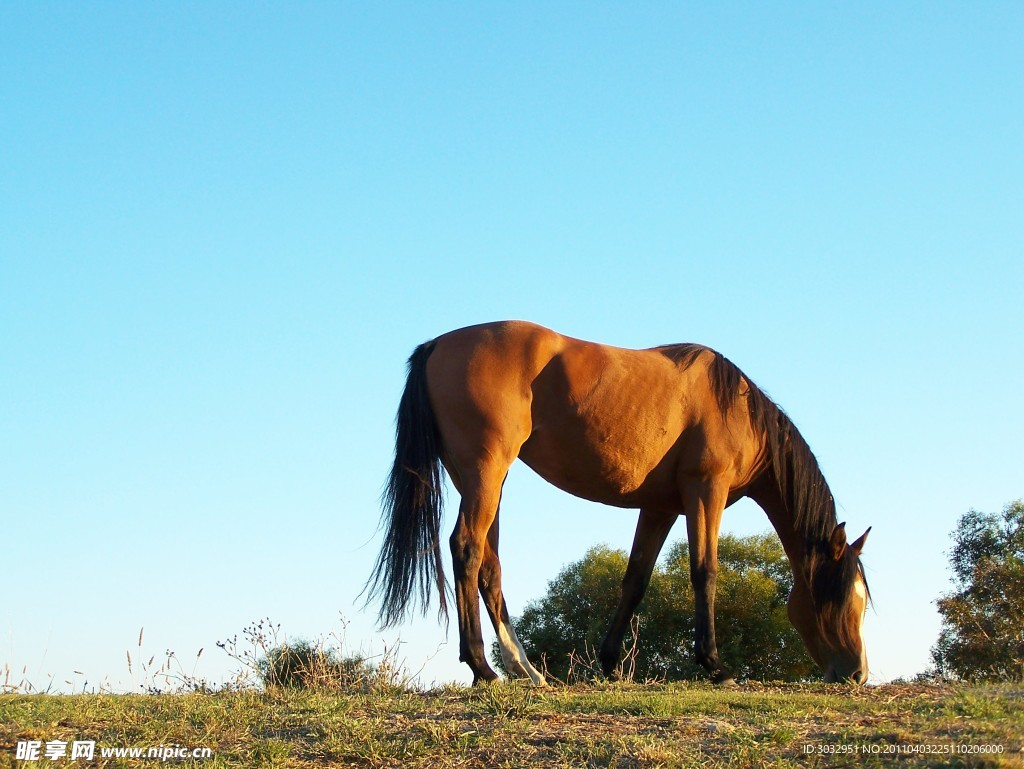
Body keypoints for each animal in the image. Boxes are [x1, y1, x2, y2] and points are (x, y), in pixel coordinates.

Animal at [364, 319, 868, 684]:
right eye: (848, 598)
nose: (856, 674)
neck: (737, 409)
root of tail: (437, 345)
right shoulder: (706, 491)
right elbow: (704, 572)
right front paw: (715, 666)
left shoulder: (662, 506)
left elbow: (635, 580)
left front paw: (609, 663)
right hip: (485, 472)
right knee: (467, 548)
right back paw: (483, 669)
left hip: (484, 478)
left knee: (490, 562)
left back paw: (525, 670)